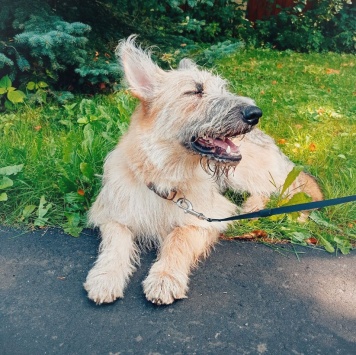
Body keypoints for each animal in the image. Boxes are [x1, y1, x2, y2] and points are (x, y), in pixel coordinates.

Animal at [84, 37, 322, 308]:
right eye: (195, 91)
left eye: (222, 89)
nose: (255, 114)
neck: (164, 174)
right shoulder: (112, 213)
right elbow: (116, 242)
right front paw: (106, 276)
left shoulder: (206, 216)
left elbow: (178, 238)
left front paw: (165, 277)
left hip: (241, 175)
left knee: (271, 190)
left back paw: (253, 207)